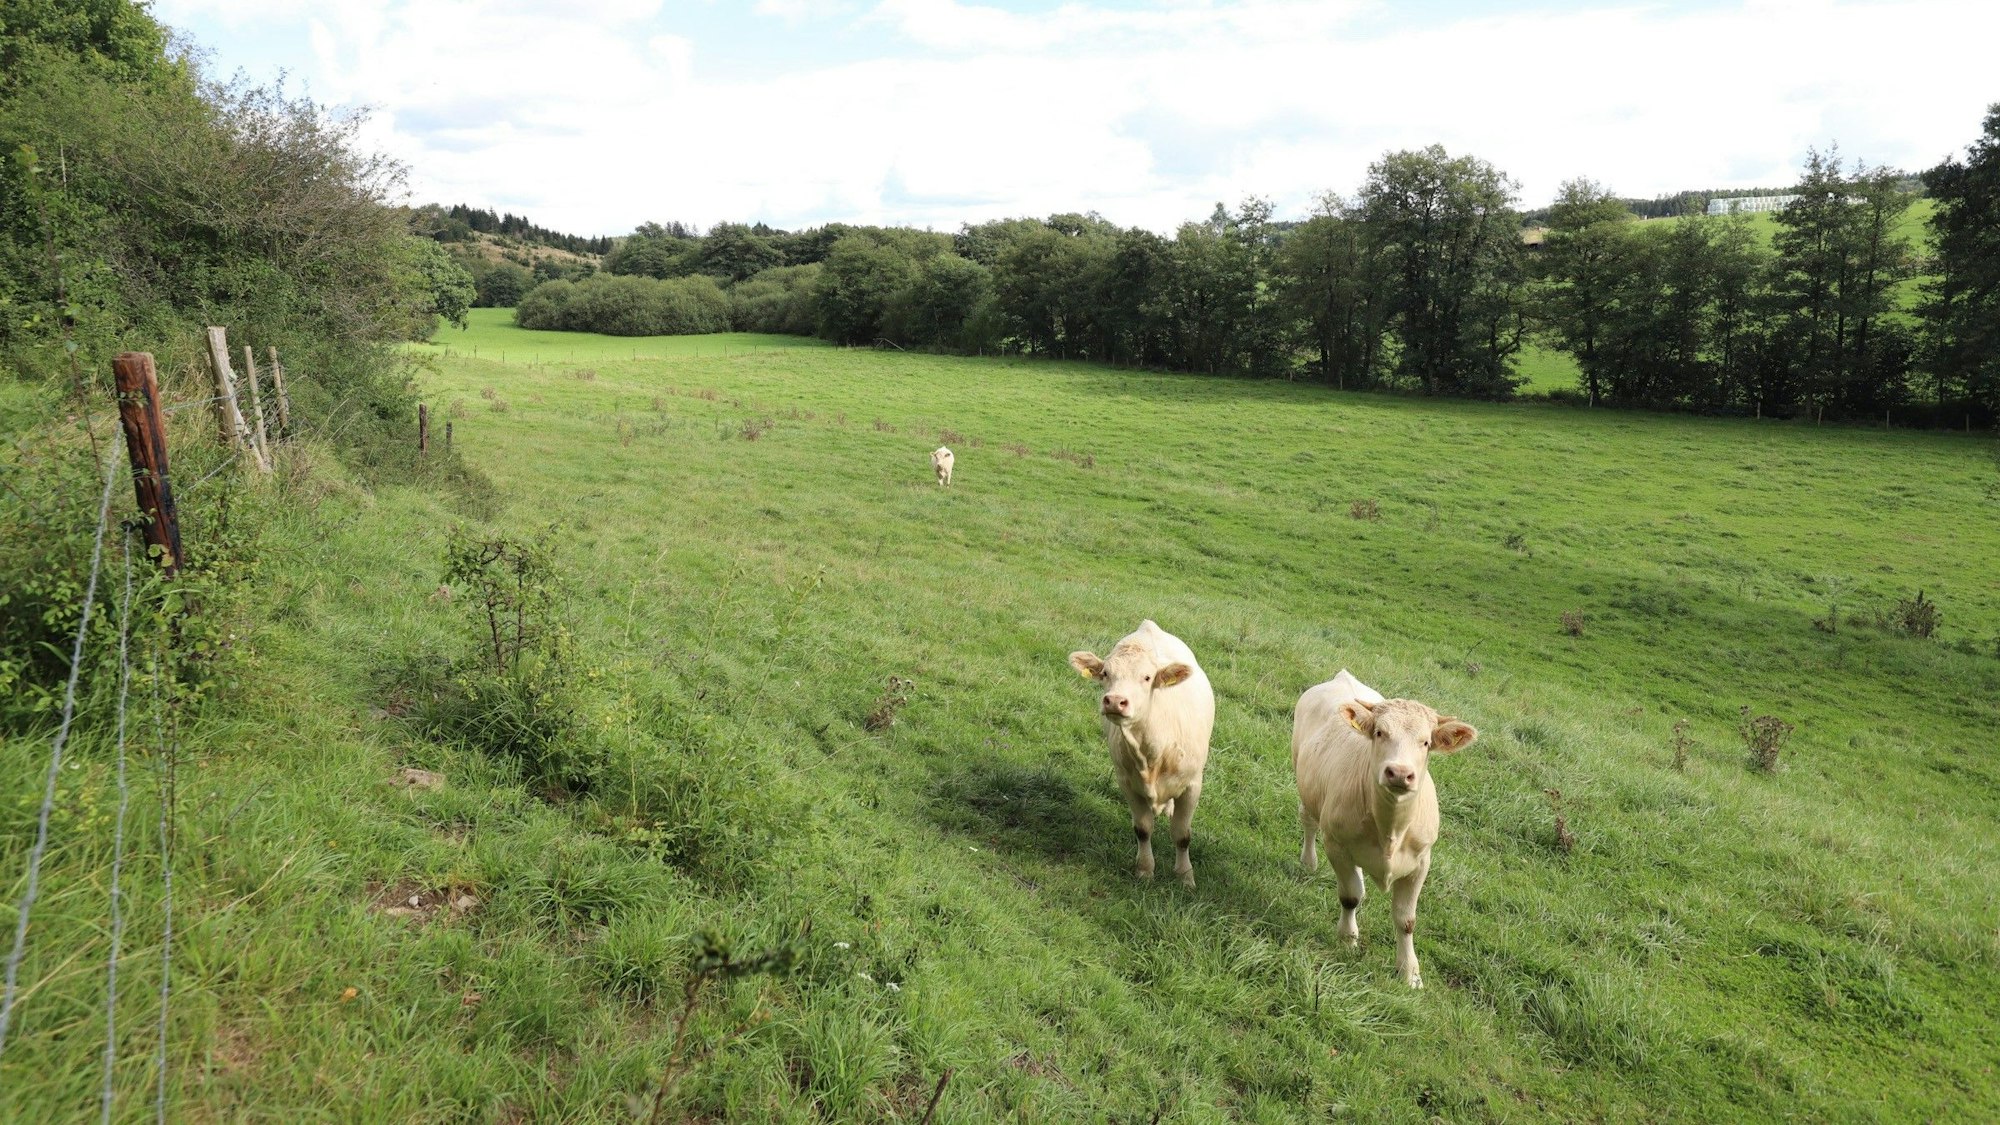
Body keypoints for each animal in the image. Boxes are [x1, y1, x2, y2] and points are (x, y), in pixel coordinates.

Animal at [1069, 620, 1216, 887]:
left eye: (1147, 677)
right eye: (1105, 674)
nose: (1115, 701)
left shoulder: (1192, 785)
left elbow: (1182, 835)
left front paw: (1185, 877)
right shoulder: (1127, 782)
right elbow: (1143, 829)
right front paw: (1145, 870)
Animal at [1292, 670, 1477, 988]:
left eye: (1426, 742)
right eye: (1379, 732)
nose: (1400, 773)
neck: (1391, 830)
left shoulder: (1421, 862)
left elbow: (1406, 920)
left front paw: (1410, 973)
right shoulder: (1336, 844)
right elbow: (1350, 897)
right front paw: (1348, 940)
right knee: (1309, 821)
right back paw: (1309, 862)